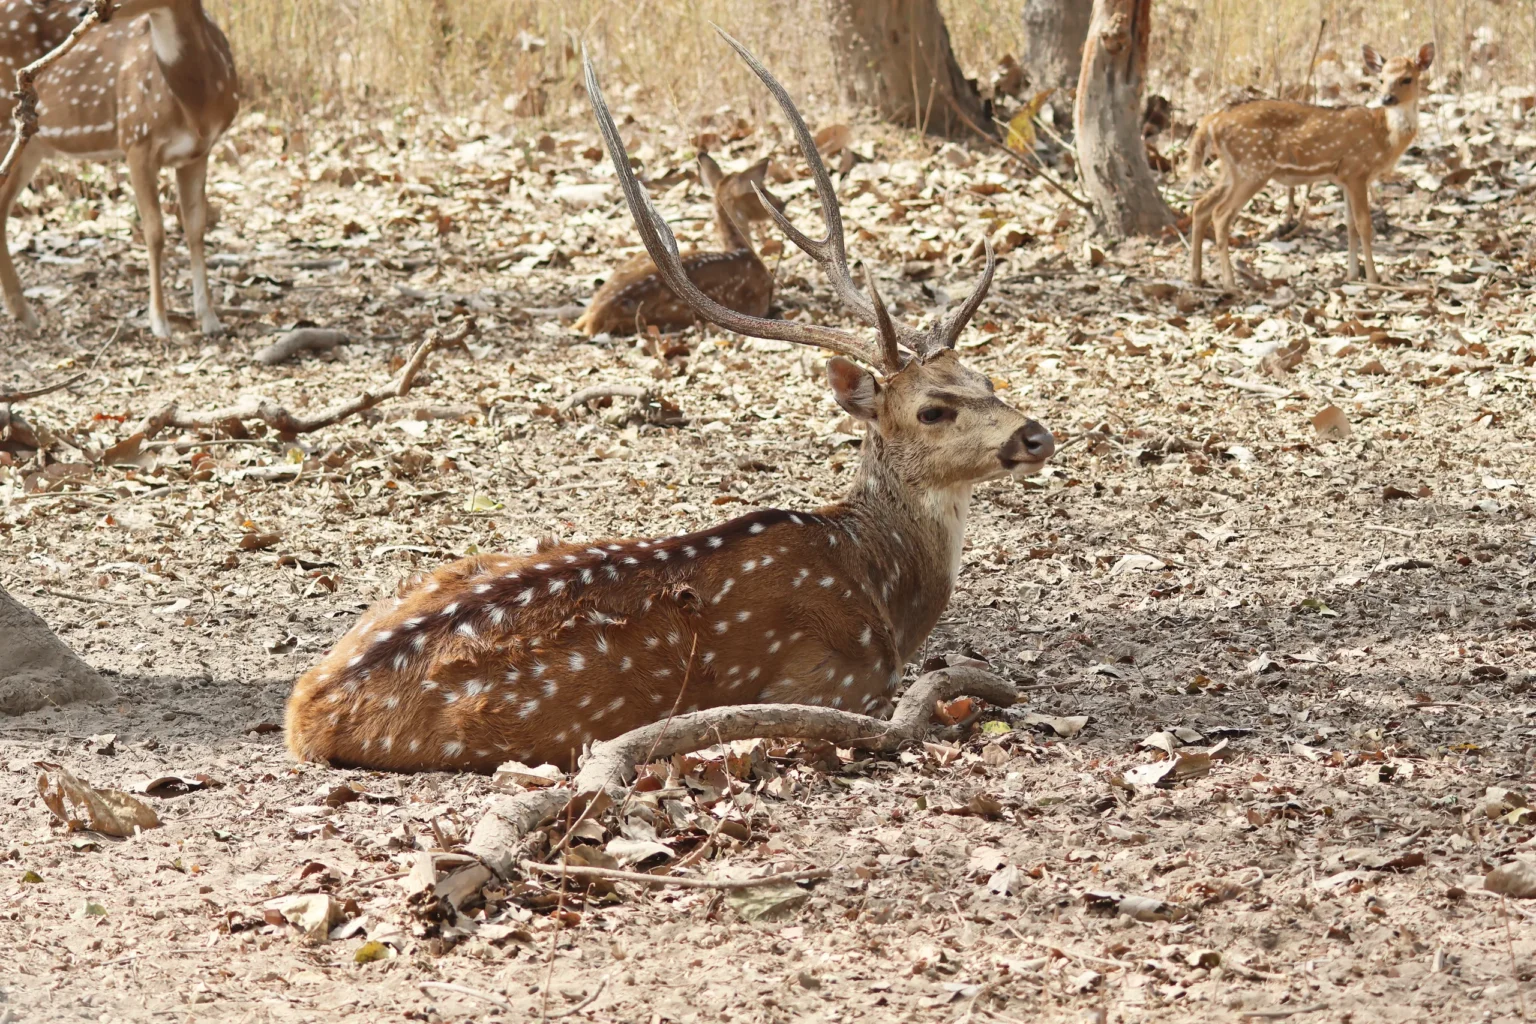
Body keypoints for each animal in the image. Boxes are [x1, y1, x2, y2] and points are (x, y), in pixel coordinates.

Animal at [0, 0, 239, 337]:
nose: (82, 9)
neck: (196, 107)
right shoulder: (135, 139)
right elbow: (154, 232)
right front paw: (160, 322)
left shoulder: (198, 153)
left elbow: (195, 228)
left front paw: (210, 319)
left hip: (32, 146)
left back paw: (24, 314)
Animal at [1187, 43, 1434, 289]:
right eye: (1381, 79)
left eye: (1407, 78)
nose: (1387, 98)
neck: (1384, 136)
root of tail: (1212, 121)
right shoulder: (1356, 170)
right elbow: (1364, 223)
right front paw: (1373, 279)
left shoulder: (1344, 176)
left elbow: (1349, 223)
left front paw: (1352, 275)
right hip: (1253, 166)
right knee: (1220, 214)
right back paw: (1230, 283)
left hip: (1233, 169)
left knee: (1201, 206)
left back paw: (1196, 277)